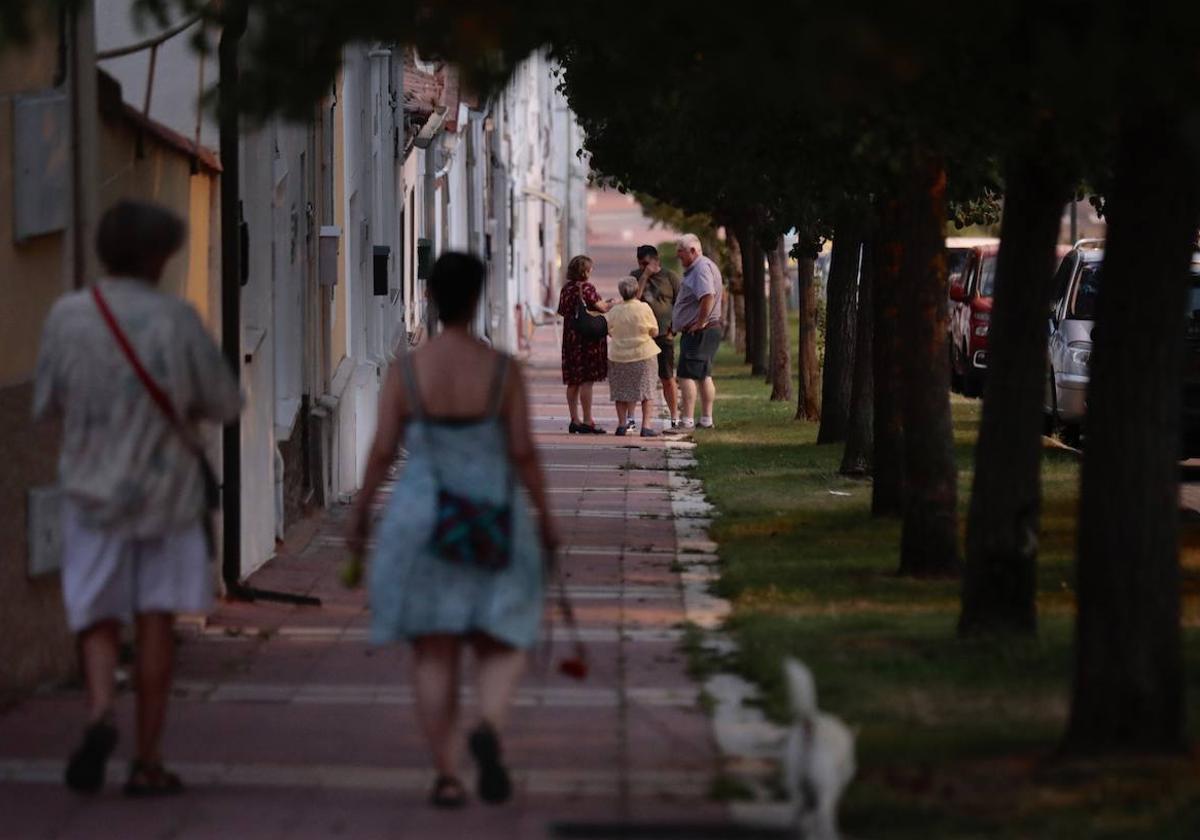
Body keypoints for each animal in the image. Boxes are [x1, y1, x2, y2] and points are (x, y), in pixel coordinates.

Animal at [782, 657, 859, 835]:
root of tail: (811, 726)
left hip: (795, 784)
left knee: (797, 813)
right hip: (826, 788)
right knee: (822, 814)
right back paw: (829, 833)